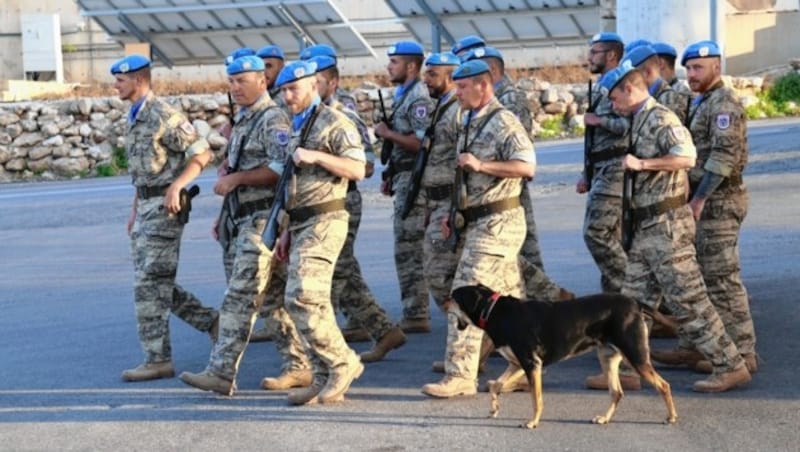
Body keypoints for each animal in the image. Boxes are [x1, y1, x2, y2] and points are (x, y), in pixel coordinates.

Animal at [446, 284, 680, 430]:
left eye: (453, 296)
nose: (442, 302)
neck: (494, 311)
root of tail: (635, 302)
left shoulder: (531, 364)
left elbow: (536, 399)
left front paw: (532, 422)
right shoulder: (517, 364)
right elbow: (496, 386)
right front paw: (494, 409)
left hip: (636, 356)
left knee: (664, 385)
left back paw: (671, 417)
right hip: (608, 358)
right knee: (617, 392)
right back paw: (604, 418)